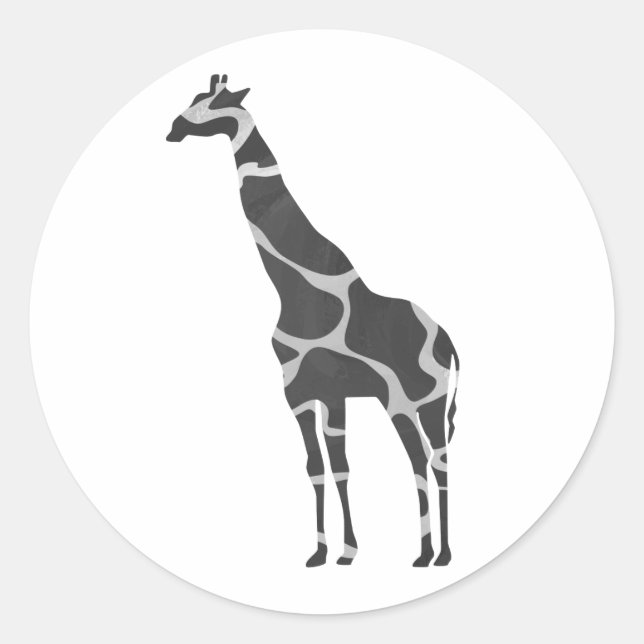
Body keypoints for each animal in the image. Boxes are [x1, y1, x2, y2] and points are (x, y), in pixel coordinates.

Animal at [167, 75, 460, 567]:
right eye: (194, 98)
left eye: (213, 103)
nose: (172, 129)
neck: (292, 288)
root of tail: (450, 343)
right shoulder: (302, 394)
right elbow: (319, 469)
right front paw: (324, 552)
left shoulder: (333, 389)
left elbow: (340, 466)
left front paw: (347, 552)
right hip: (407, 402)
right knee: (423, 460)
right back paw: (427, 553)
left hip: (420, 399)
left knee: (432, 461)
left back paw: (437, 555)